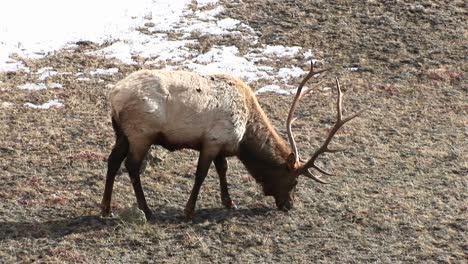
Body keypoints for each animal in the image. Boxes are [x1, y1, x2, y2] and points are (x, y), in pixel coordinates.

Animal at [99, 61, 362, 219]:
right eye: (293, 181)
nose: (289, 205)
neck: (244, 138)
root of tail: (113, 96)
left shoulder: (221, 146)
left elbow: (222, 170)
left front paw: (229, 202)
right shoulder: (212, 141)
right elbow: (201, 175)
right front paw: (189, 209)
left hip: (122, 133)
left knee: (112, 161)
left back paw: (106, 208)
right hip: (141, 132)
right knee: (131, 165)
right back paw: (146, 209)